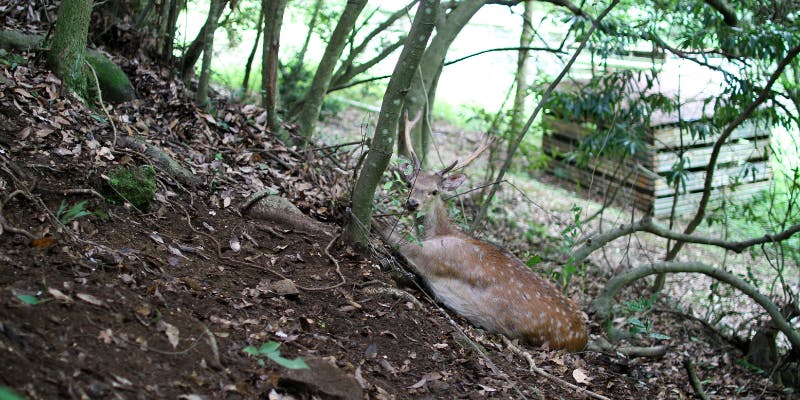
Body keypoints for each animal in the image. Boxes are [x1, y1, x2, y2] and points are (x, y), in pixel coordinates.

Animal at [378, 111, 592, 350]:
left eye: (434, 191)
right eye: (410, 184)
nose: (412, 203)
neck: (441, 232)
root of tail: (582, 338)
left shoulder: (435, 255)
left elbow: (390, 233)